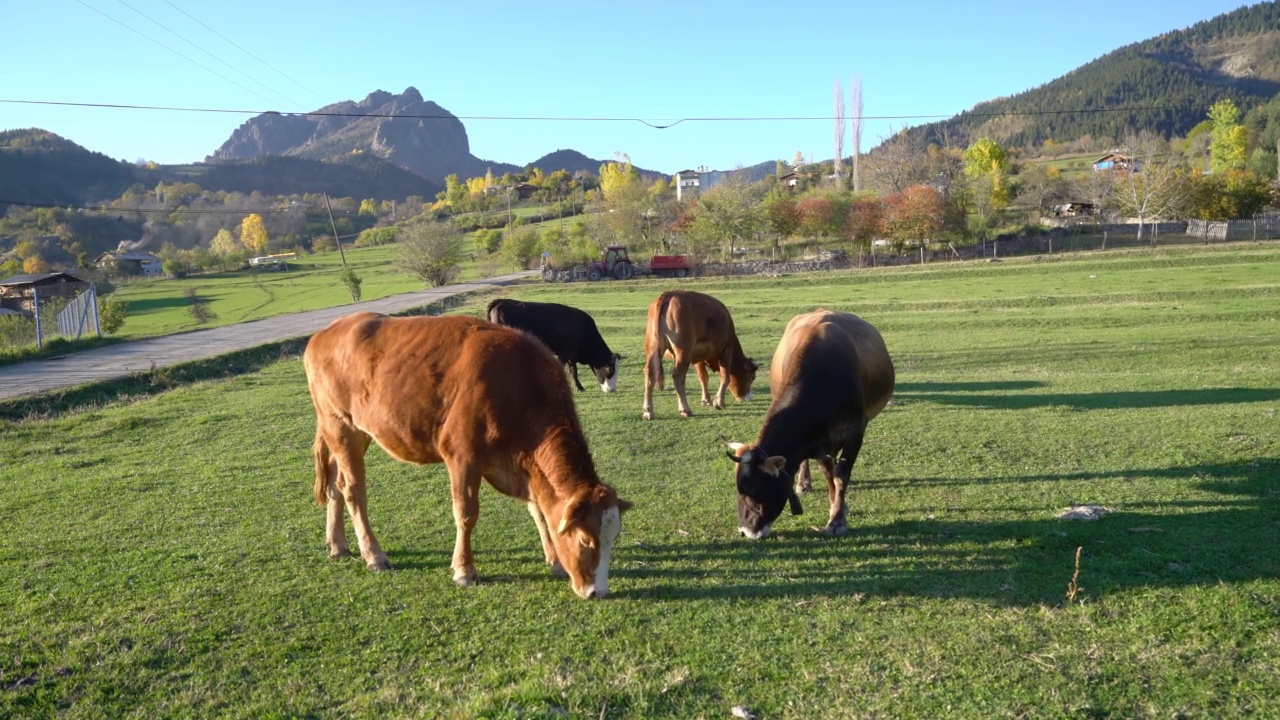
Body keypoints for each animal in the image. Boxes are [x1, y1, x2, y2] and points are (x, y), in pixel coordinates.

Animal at [305, 311, 634, 597]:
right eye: (585, 539)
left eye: (614, 537)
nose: (598, 591)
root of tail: (327, 331)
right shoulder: (462, 457)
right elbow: (466, 514)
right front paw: (464, 570)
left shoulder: (524, 468)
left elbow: (539, 510)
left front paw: (554, 560)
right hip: (340, 425)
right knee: (353, 490)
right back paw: (373, 554)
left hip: (353, 433)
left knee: (334, 483)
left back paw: (338, 544)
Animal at [486, 295, 622, 389]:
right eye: (610, 370)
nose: (612, 389)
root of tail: (499, 302)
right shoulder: (565, 354)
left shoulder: (571, 355)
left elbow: (574, 371)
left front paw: (579, 387)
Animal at [640, 288, 757, 417]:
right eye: (751, 377)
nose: (747, 397)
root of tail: (668, 295)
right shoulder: (726, 349)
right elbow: (725, 376)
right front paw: (719, 402)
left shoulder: (697, 357)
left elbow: (703, 377)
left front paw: (706, 400)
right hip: (683, 351)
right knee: (678, 375)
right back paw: (685, 409)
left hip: (652, 347)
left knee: (649, 372)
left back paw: (648, 411)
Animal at [727, 308, 896, 538]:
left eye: (753, 490)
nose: (744, 532)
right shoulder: (818, 441)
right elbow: (828, 473)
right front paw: (837, 506)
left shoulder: (855, 430)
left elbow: (840, 474)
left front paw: (837, 518)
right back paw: (803, 482)